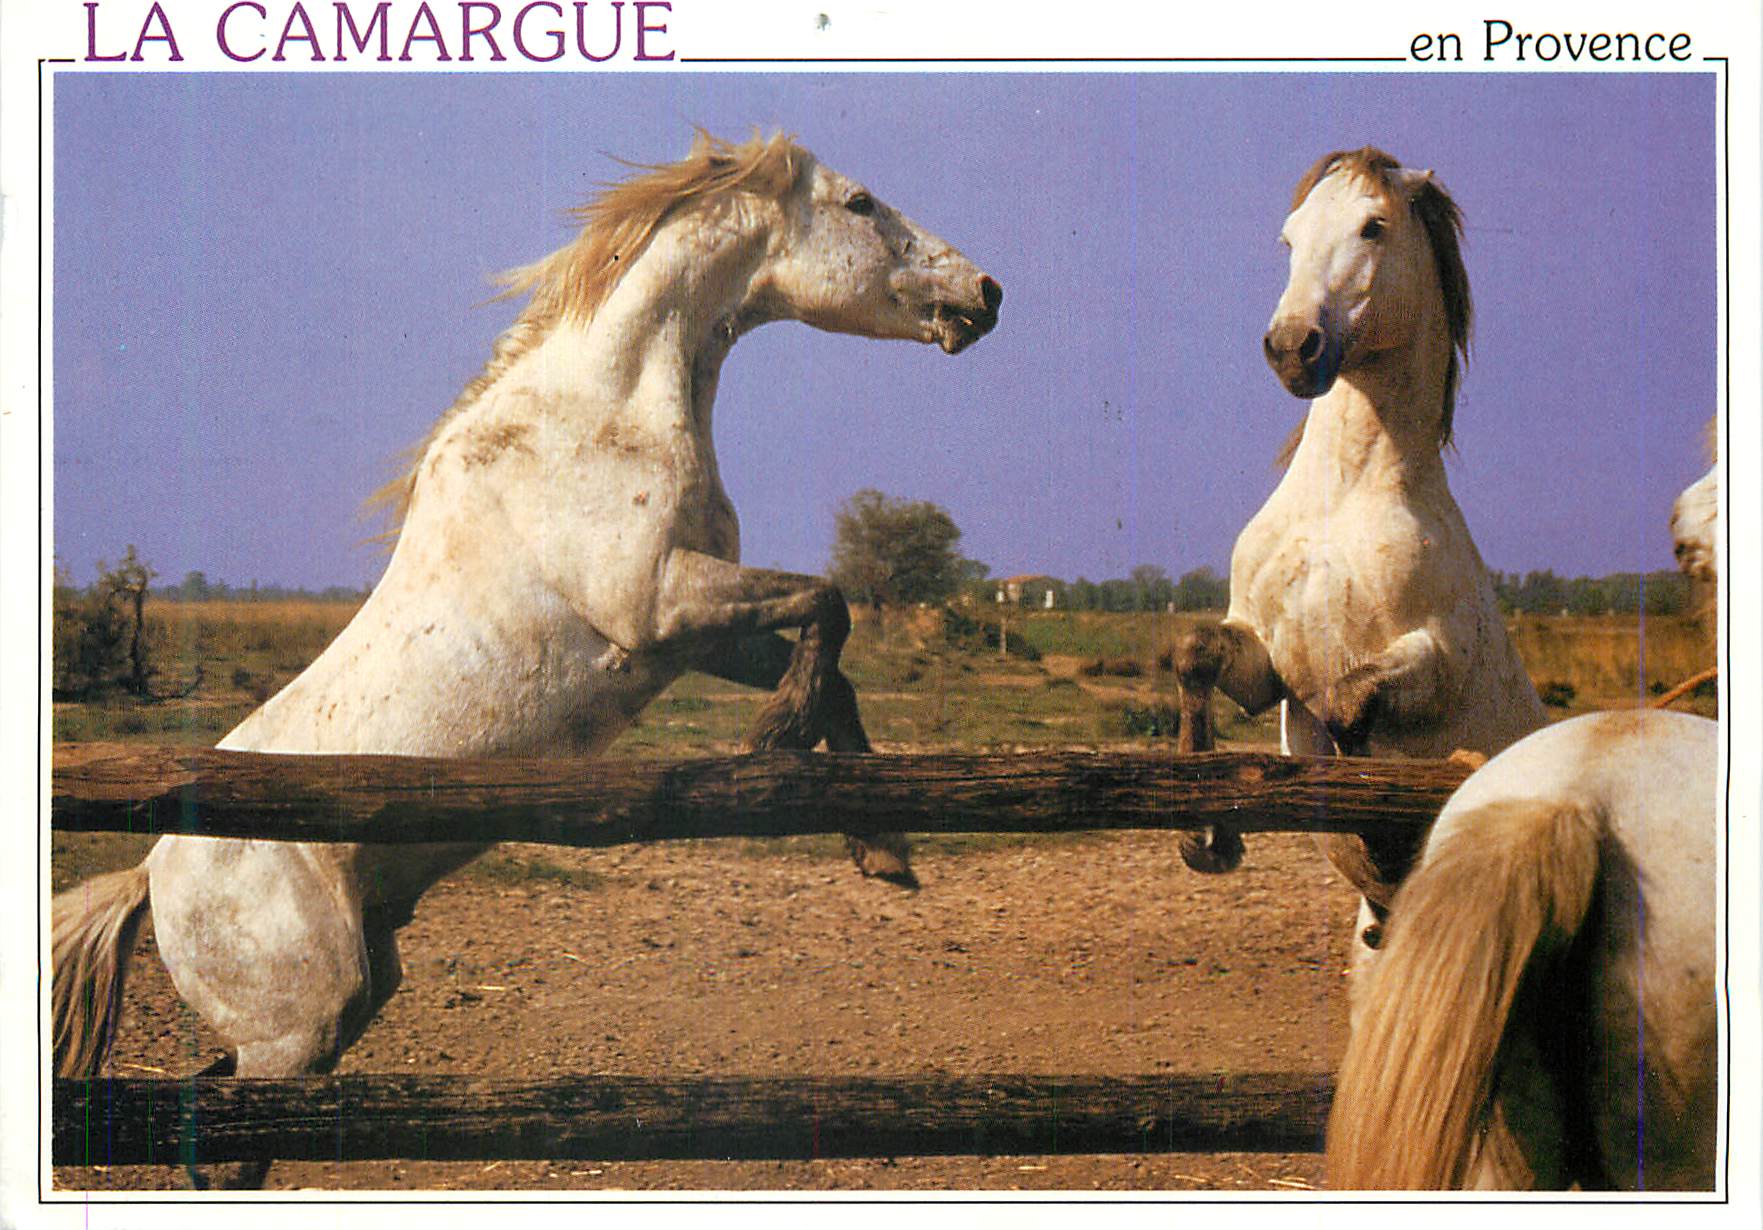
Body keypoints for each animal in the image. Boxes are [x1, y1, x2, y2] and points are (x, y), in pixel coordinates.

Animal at [52, 129, 1001, 1189]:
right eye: (859, 203)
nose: (986, 295)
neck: (600, 414)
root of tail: (151, 876)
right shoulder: (656, 607)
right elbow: (829, 604)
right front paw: (779, 745)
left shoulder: (699, 633)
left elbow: (833, 661)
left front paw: (884, 850)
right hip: (296, 1027)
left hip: (345, 1001)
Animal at [1172, 148, 1546, 957]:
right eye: (1288, 236)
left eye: (1373, 226)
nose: (1290, 347)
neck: (1341, 504)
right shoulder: (1266, 661)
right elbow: (1195, 654)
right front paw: (1207, 837)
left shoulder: (1435, 657)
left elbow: (1350, 707)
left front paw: (1377, 832)